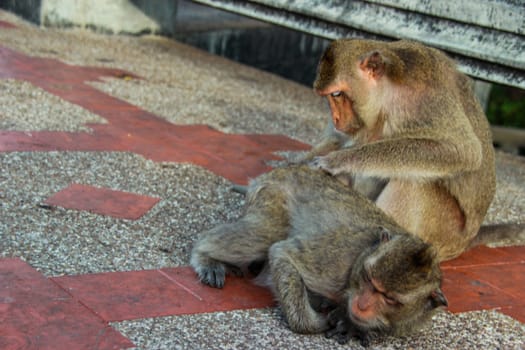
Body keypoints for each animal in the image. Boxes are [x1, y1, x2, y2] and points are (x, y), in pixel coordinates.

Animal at [189, 165, 446, 344]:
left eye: (390, 299)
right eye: (368, 279)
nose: (362, 304)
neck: (362, 255)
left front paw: (351, 324)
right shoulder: (336, 259)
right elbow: (283, 253)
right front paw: (316, 323)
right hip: (272, 194)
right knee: (264, 234)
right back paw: (205, 256)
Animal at [302, 39, 524, 262]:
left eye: (337, 94)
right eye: (329, 97)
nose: (336, 118)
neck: (391, 87)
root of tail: (466, 241)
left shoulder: (425, 101)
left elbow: (463, 151)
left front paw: (339, 160)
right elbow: (338, 138)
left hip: (443, 233)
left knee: (414, 183)